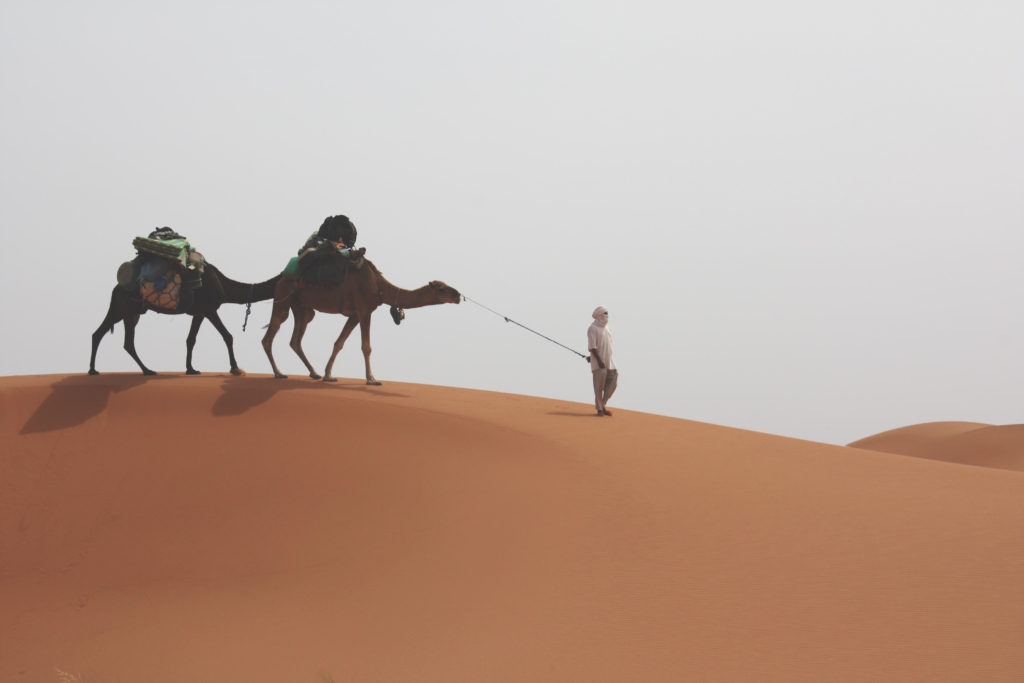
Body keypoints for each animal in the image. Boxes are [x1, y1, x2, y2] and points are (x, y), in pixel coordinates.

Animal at [90, 264, 282, 376]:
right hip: (127, 309)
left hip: (125, 311)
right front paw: (235, 368)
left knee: (108, 336)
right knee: (114, 338)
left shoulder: (199, 313)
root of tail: (116, 288)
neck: (224, 286)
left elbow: (191, 339)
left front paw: (191, 369)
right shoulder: (210, 309)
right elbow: (228, 336)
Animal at [260, 258, 460, 385]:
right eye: (441, 289)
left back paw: (314, 373)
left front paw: (328, 375)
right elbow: (366, 347)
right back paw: (279, 373)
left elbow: (339, 343)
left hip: (302, 308)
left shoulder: (355, 315)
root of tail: (281, 278)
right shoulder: (364, 310)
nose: (458, 295)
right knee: (269, 336)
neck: (379, 287)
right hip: (283, 300)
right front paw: (372, 379)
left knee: (296, 339)